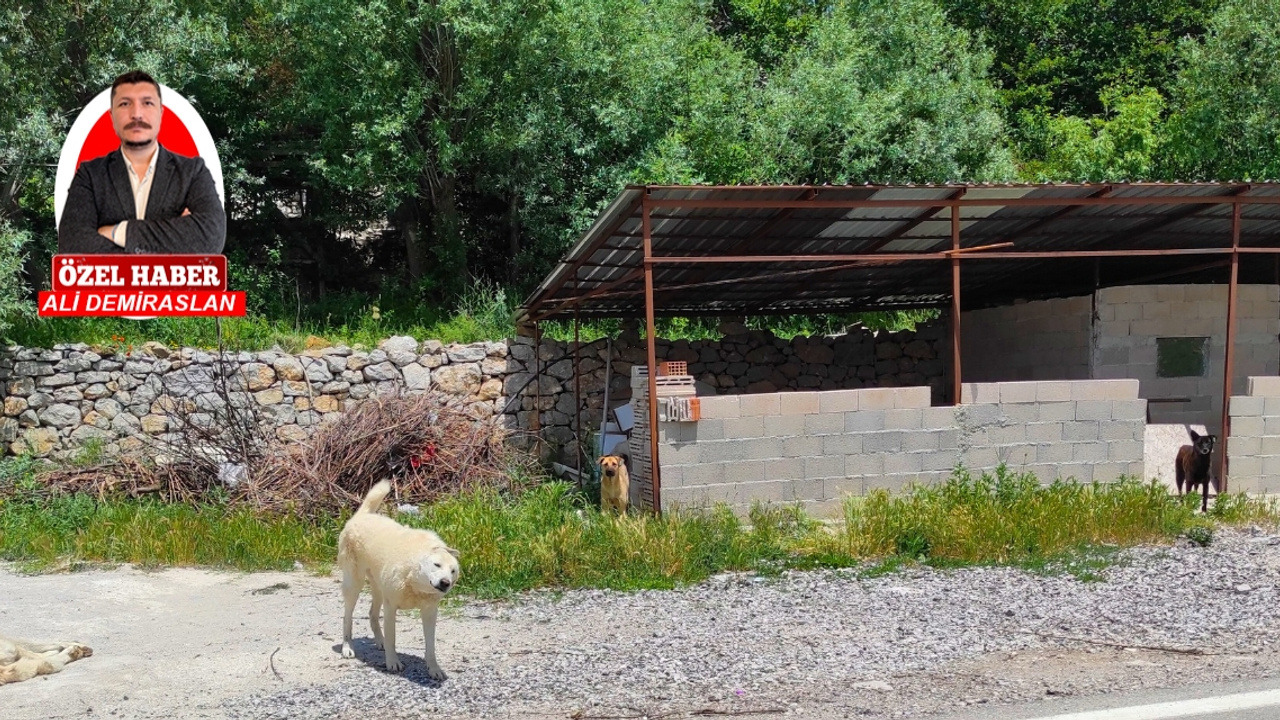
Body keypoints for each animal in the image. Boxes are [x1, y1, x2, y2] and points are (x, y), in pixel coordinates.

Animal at [340, 479, 460, 676]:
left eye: (453, 571)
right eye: (437, 565)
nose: (445, 583)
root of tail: (361, 516)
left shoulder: (430, 612)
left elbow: (430, 646)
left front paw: (434, 669)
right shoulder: (391, 607)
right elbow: (392, 639)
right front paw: (393, 662)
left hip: (378, 589)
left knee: (372, 615)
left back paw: (379, 641)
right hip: (354, 586)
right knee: (347, 617)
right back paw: (347, 647)